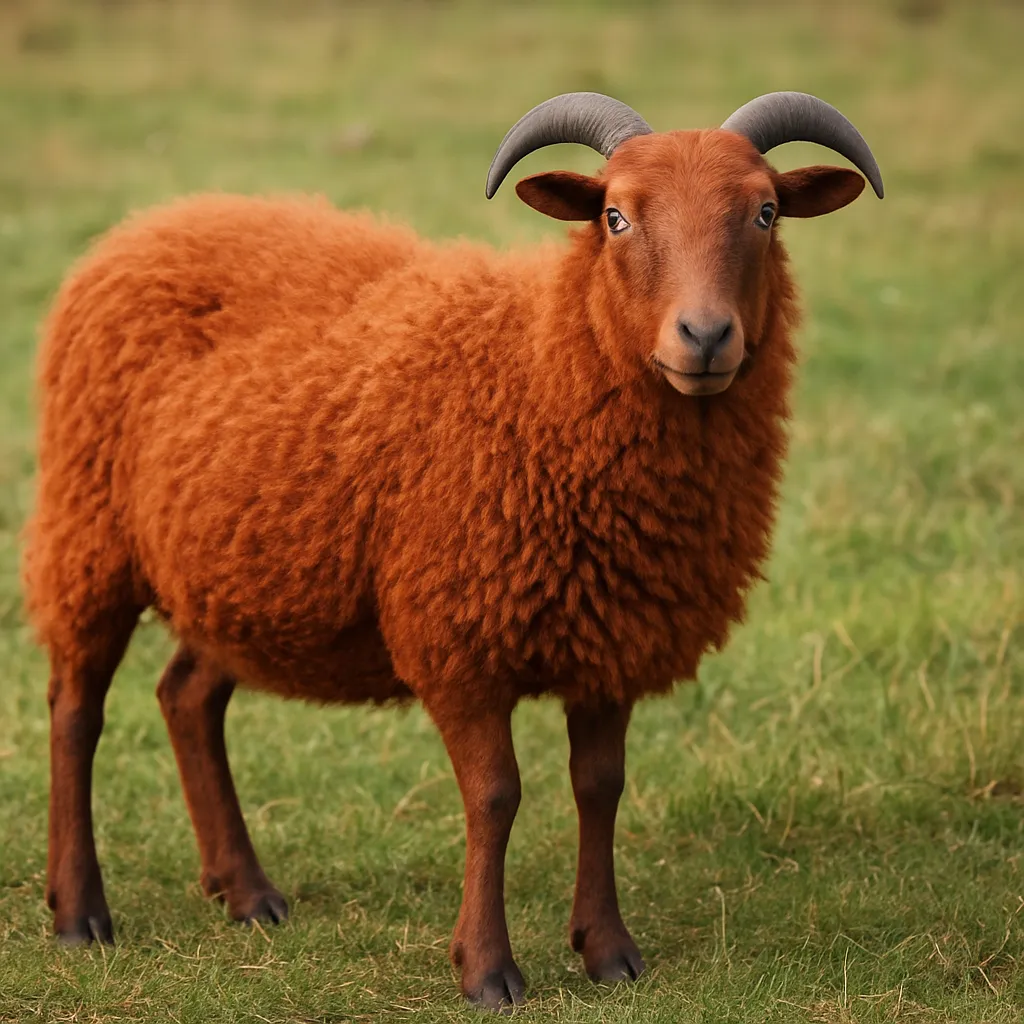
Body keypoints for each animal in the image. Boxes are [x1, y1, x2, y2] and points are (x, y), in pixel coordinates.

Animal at [23, 91, 882, 1010]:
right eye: (615, 217)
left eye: (765, 212)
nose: (706, 336)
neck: (539, 366)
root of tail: (153, 221)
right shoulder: (458, 637)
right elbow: (495, 798)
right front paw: (487, 970)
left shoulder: (610, 637)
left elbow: (600, 789)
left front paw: (608, 950)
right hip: (88, 534)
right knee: (76, 712)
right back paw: (80, 913)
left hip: (239, 574)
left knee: (186, 698)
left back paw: (246, 893)